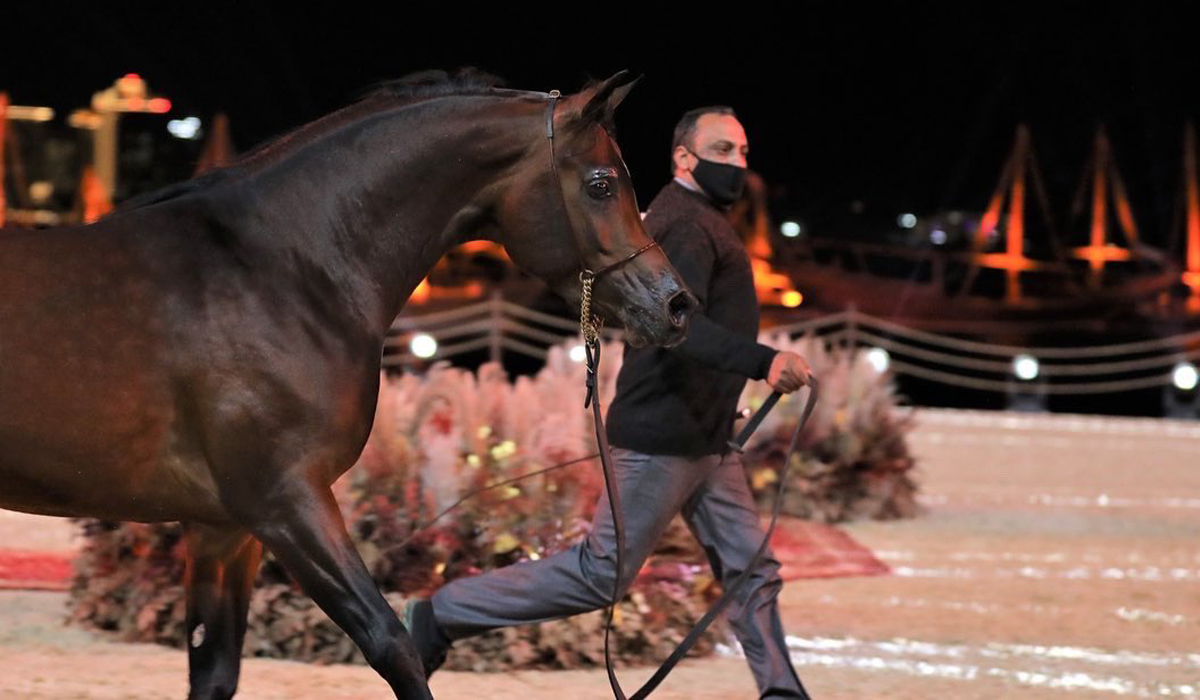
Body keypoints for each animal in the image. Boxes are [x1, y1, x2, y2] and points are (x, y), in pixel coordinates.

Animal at [0, 69, 696, 700]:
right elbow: (392, 644)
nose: (675, 305)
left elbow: (215, 672)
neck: (278, 273)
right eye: (602, 184)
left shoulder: (224, 528)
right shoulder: (286, 502)